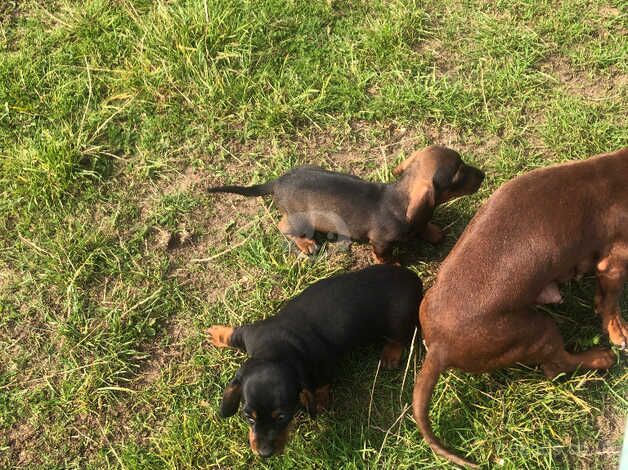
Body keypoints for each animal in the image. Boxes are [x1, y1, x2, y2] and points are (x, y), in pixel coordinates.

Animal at [209, 145, 484, 262]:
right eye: (458, 175)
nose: (483, 175)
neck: (399, 199)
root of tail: (276, 182)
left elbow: (424, 225)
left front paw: (431, 231)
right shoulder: (380, 242)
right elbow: (383, 256)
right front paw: (390, 263)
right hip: (302, 220)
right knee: (283, 227)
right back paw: (306, 244)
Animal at [210, 266, 422, 458]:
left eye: (282, 417)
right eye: (248, 417)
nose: (264, 454)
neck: (275, 349)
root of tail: (415, 280)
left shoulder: (324, 366)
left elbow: (320, 386)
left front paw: (317, 402)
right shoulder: (249, 334)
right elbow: (233, 335)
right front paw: (218, 333)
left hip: (399, 322)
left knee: (402, 338)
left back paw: (391, 354)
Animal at [412, 148, 628, 466]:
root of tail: (439, 347)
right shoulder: (614, 264)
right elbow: (611, 302)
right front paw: (618, 332)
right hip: (538, 329)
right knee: (557, 366)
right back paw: (601, 357)